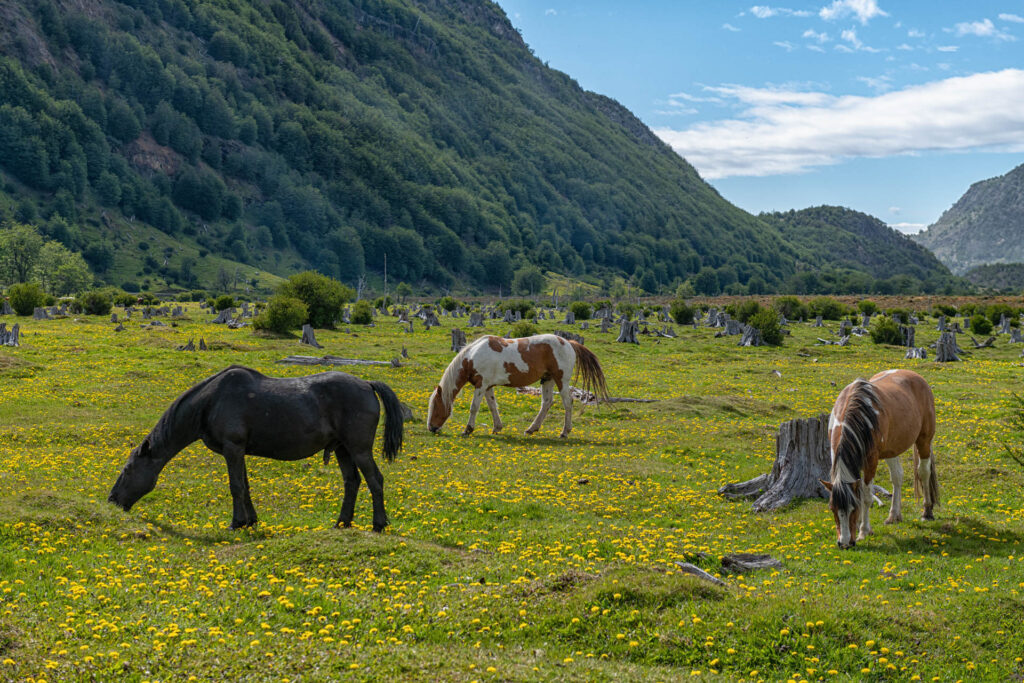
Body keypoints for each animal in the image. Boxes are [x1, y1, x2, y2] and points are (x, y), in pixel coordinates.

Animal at [109, 366, 403, 532]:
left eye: (127, 470)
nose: (112, 500)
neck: (210, 402)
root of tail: (367, 384)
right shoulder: (239, 452)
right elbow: (246, 486)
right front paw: (251, 521)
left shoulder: (233, 448)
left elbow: (235, 487)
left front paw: (236, 523)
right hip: (343, 449)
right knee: (352, 482)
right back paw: (342, 522)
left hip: (359, 449)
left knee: (375, 480)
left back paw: (379, 524)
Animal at [425, 335, 606, 438]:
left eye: (436, 407)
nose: (431, 428)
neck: (472, 357)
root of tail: (568, 342)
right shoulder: (487, 387)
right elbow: (492, 406)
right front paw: (497, 428)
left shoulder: (481, 385)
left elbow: (474, 407)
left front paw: (468, 429)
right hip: (547, 379)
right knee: (546, 403)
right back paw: (531, 429)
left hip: (561, 380)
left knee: (568, 403)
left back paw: (564, 432)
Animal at [819, 368, 937, 548]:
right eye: (832, 508)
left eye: (853, 508)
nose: (844, 543)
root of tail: (917, 377)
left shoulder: (871, 461)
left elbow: (867, 497)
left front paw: (863, 531)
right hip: (891, 449)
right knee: (897, 477)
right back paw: (894, 516)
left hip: (924, 440)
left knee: (923, 472)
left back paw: (927, 512)